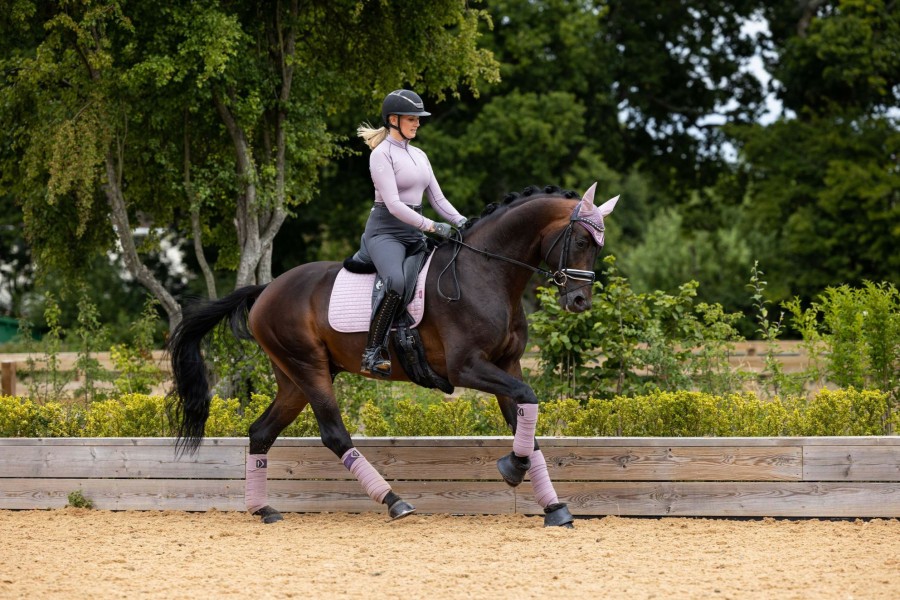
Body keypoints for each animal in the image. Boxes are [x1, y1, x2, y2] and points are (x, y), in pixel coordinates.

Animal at [169, 182, 620, 524]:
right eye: (582, 240)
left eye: (598, 246)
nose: (579, 301)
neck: (487, 272)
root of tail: (266, 289)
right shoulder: (466, 367)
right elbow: (528, 400)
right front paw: (513, 469)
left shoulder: (507, 365)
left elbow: (526, 417)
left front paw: (551, 504)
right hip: (308, 368)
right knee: (334, 434)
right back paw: (393, 501)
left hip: (294, 379)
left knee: (261, 432)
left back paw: (263, 509)